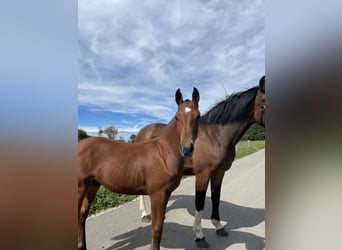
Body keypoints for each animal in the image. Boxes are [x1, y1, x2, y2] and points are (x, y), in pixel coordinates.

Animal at [77, 88, 200, 250]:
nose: (186, 148)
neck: (163, 153)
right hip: (80, 186)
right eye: (177, 117)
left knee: (82, 215)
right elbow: (156, 229)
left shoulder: (165, 194)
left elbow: (160, 227)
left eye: (198, 116)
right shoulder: (157, 194)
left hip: (92, 185)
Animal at [136, 76, 264, 248]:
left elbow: (216, 198)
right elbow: (200, 202)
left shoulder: (219, 173)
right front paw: (199, 236)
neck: (215, 136)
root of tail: (143, 131)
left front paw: (219, 227)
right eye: (263, 105)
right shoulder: (202, 174)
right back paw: (144, 215)